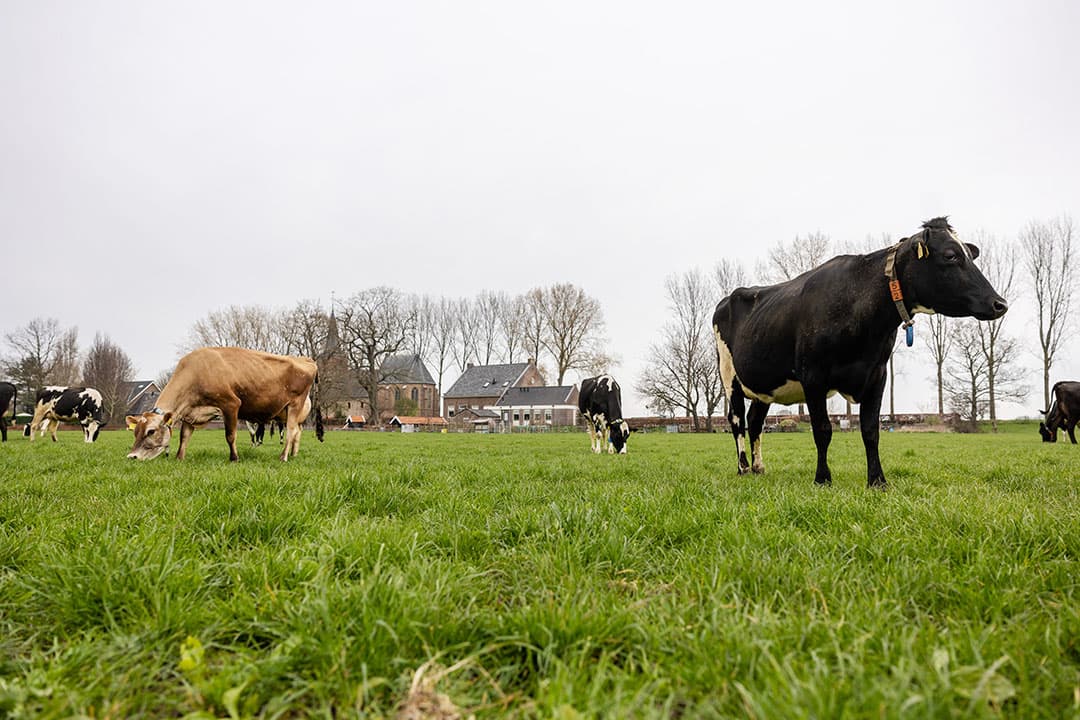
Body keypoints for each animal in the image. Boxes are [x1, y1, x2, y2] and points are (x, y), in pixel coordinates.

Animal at [126, 347, 324, 462]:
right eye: (135, 432)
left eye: (151, 431)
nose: (132, 456)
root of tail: (306, 359)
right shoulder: (191, 413)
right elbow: (184, 437)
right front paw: (179, 458)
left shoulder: (231, 404)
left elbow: (230, 435)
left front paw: (234, 458)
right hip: (286, 411)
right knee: (297, 432)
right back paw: (293, 454)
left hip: (295, 405)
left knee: (291, 431)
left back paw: (283, 456)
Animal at [713, 217, 1008, 488]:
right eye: (950, 255)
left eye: (969, 254)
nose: (1000, 303)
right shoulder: (813, 376)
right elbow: (822, 429)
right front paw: (822, 479)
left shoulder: (877, 374)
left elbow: (870, 430)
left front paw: (877, 481)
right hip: (729, 376)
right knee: (737, 420)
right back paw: (743, 468)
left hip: (764, 385)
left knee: (755, 421)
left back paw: (759, 468)